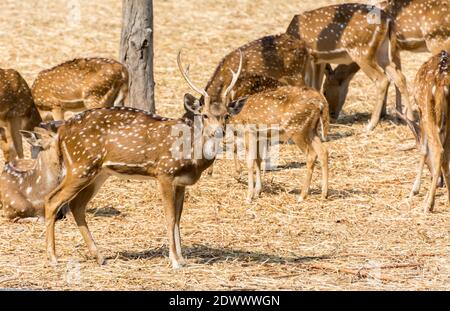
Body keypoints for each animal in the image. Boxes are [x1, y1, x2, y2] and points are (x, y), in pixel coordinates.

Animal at [41, 50, 244, 268]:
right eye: (204, 115)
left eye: (226, 115)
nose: (218, 132)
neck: (192, 156)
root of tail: (62, 131)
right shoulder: (164, 172)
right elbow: (169, 217)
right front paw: (174, 260)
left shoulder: (181, 182)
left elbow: (178, 218)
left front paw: (182, 258)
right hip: (80, 165)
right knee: (52, 200)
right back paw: (53, 258)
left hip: (98, 172)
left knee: (77, 205)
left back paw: (100, 256)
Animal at [286, 1, 414, 130]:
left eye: (325, 91)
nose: (332, 114)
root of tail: (387, 20)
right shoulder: (319, 60)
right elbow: (313, 86)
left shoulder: (311, 57)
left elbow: (312, 86)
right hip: (383, 53)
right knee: (400, 77)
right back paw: (410, 119)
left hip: (362, 51)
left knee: (382, 79)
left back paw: (370, 125)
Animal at [404, 51, 450, 213]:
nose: (440, 183)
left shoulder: (421, 113)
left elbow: (424, 149)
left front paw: (414, 190)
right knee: (444, 153)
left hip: (427, 111)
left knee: (438, 149)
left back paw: (428, 204)